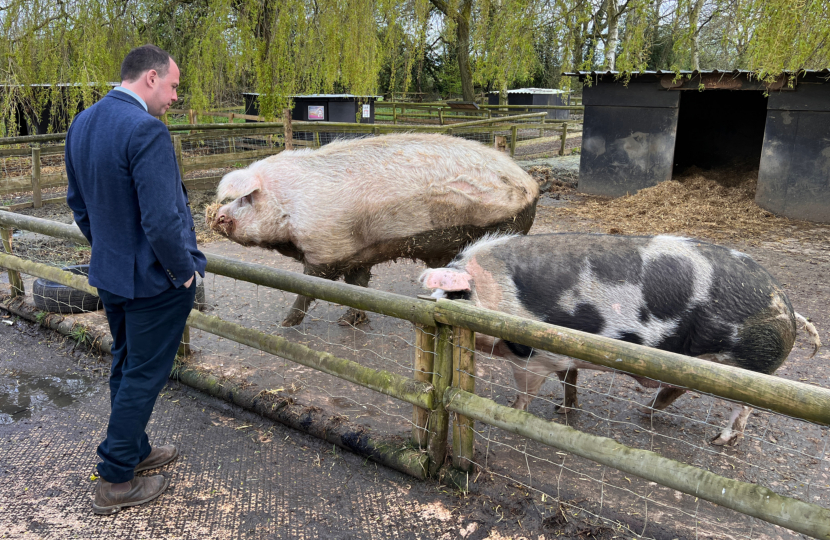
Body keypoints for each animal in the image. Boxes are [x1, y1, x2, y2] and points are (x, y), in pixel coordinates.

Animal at [422, 233, 824, 448]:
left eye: (452, 293)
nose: (428, 306)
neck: (492, 294)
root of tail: (789, 309)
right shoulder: (565, 352)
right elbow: (569, 379)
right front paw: (564, 410)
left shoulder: (530, 355)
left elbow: (525, 392)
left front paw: (512, 410)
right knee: (678, 389)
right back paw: (645, 413)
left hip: (748, 368)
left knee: (743, 409)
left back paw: (718, 441)